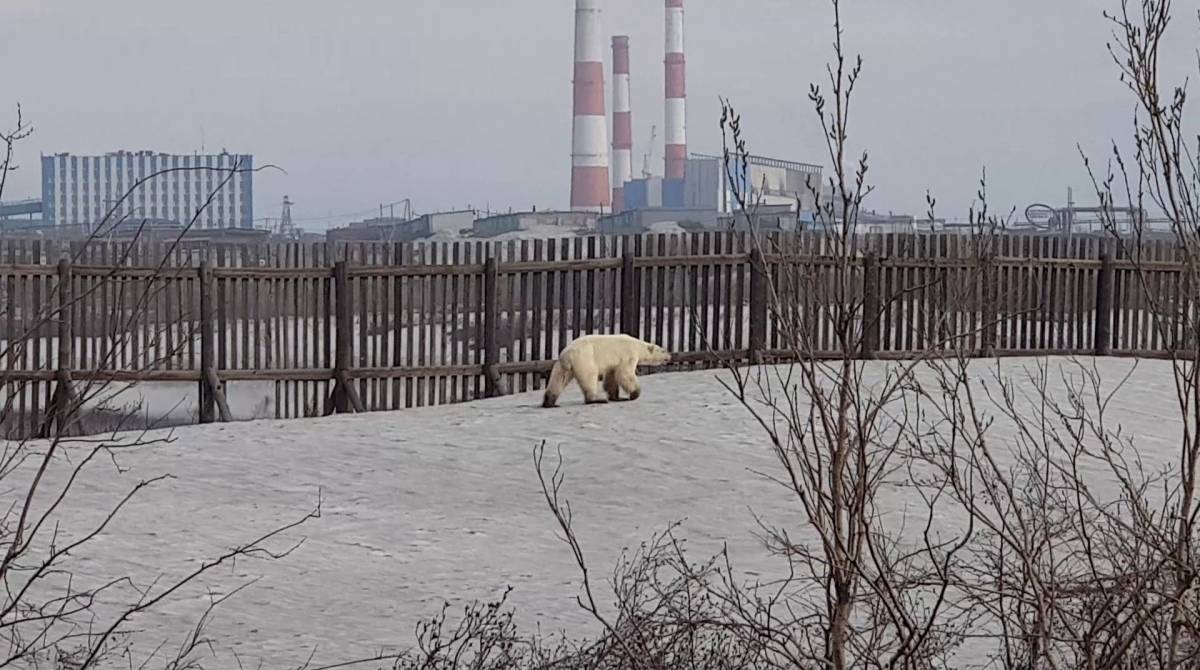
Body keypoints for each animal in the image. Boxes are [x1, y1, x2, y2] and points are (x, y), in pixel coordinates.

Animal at [541, 334, 672, 408]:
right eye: (663, 350)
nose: (670, 356)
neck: (637, 345)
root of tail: (567, 355)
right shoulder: (628, 355)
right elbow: (625, 374)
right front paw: (634, 394)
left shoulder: (614, 363)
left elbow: (612, 378)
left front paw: (617, 397)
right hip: (584, 359)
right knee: (590, 376)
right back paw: (597, 399)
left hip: (562, 366)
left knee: (558, 380)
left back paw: (550, 403)